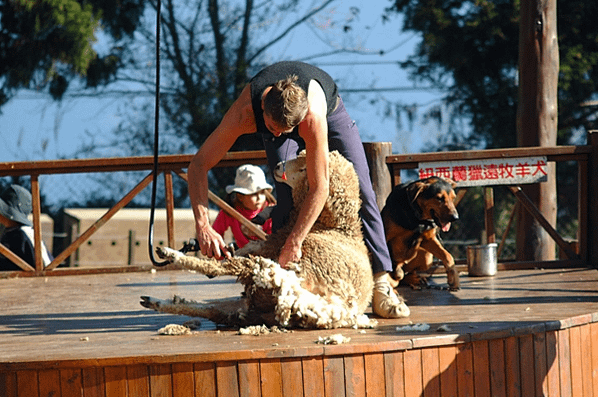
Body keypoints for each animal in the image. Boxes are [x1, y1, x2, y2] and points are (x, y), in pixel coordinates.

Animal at [141, 150, 378, 330]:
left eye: (305, 168)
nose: (278, 166)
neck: (337, 227)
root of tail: (334, 308)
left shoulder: (274, 246)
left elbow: (243, 252)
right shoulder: (269, 244)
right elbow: (248, 245)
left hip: (276, 273)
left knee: (229, 269)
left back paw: (171, 256)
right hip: (257, 304)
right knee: (216, 311)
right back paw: (156, 302)